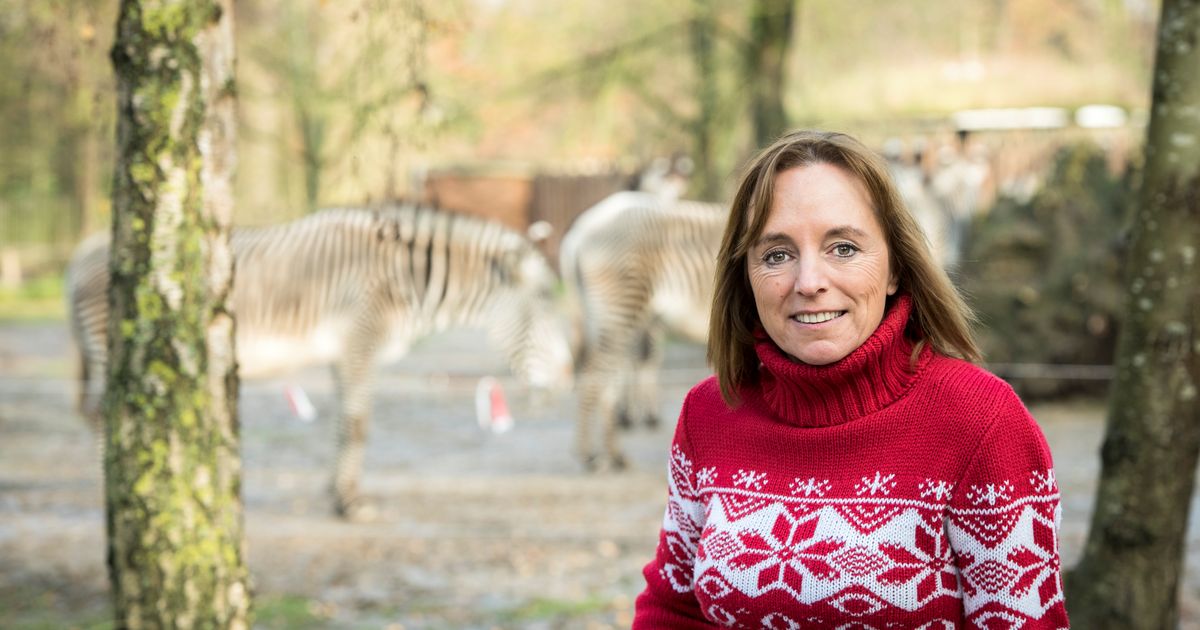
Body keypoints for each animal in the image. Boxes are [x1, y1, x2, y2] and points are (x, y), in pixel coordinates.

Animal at [69, 204, 576, 518]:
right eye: (544, 305)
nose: (569, 374)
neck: (403, 278)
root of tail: (81, 254)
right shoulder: (360, 344)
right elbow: (358, 424)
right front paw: (351, 505)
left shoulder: (342, 353)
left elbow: (340, 424)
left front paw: (335, 494)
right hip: (111, 347)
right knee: (105, 414)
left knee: (91, 412)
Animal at [559, 192, 724, 470]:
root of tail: (582, 228)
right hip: (619, 309)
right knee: (595, 375)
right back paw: (589, 456)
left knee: (608, 381)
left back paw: (614, 455)